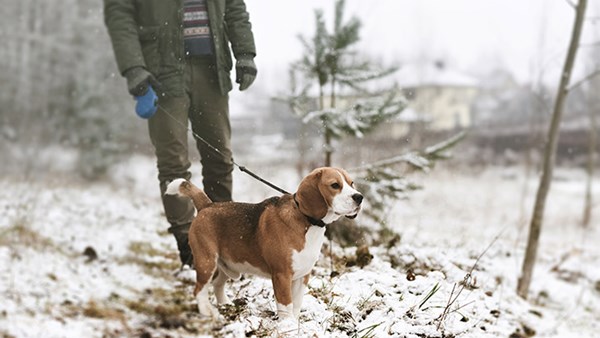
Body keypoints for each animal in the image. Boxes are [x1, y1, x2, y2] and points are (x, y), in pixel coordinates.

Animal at [164, 168, 364, 320]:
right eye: (335, 185)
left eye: (351, 183)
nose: (359, 197)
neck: (307, 222)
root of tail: (207, 206)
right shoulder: (282, 275)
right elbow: (286, 305)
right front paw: (287, 326)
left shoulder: (303, 276)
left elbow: (296, 304)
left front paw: (296, 324)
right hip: (206, 262)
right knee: (199, 290)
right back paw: (208, 312)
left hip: (227, 266)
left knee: (217, 284)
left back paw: (225, 304)